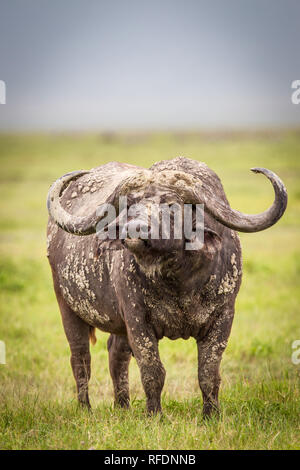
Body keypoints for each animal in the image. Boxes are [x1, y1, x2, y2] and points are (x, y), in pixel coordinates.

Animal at [45, 158, 288, 418]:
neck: (180, 283)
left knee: (116, 353)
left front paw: (211, 415)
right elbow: (152, 371)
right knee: (81, 358)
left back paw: (122, 406)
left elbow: (208, 373)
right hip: (67, 305)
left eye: (171, 205)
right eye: (128, 204)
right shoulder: (137, 319)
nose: (135, 229)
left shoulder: (224, 316)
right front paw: (154, 415)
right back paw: (85, 408)